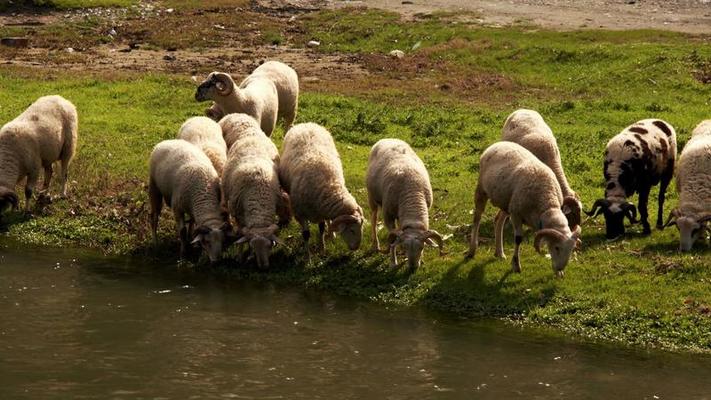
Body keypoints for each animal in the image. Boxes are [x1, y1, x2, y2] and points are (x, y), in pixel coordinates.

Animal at [278, 123, 364, 258]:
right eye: (351, 230)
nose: (356, 247)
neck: (329, 186)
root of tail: (307, 123)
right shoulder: (300, 213)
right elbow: (306, 234)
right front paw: (307, 256)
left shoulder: (320, 213)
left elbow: (322, 229)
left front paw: (322, 247)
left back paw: (331, 234)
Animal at [370, 139, 442, 270]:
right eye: (405, 246)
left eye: (422, 247)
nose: (413, 267)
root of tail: (388, 138)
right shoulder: (388, 217)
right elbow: (392, 241)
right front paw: (393, 262)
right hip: (372, 198)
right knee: (373, 218)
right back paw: (375, 245)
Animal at [468, 141, 584, 278]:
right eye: (556, 248)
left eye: (571, 249)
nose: (560, 267)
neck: (548, 204)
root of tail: (498, 143)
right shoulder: (516, 215)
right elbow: (518, 239)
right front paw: (516, 265)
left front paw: (558, 272)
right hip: (482, 190)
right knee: (477, 218)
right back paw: (472, 250)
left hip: (507, 202)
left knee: (498, 221)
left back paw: (499, 252)